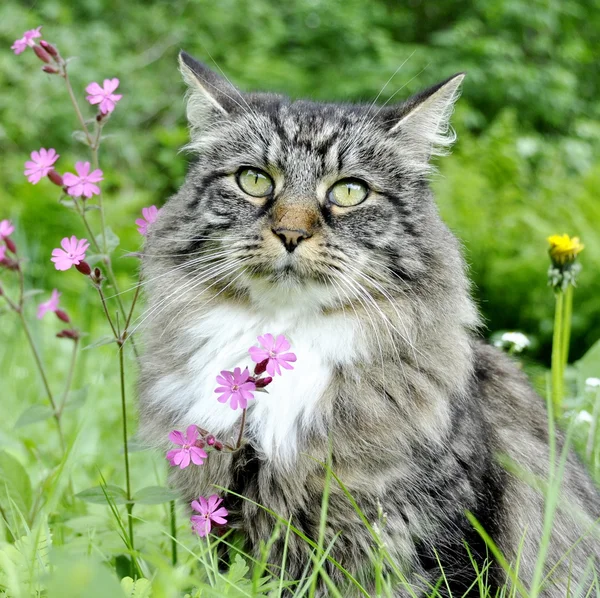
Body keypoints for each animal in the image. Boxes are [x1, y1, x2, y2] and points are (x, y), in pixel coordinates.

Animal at [137, 52, 600, 598]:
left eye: (350, 191)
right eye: (254, 180)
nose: (290, 233)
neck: (286, 340)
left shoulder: (438, 541)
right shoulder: (221, 512)